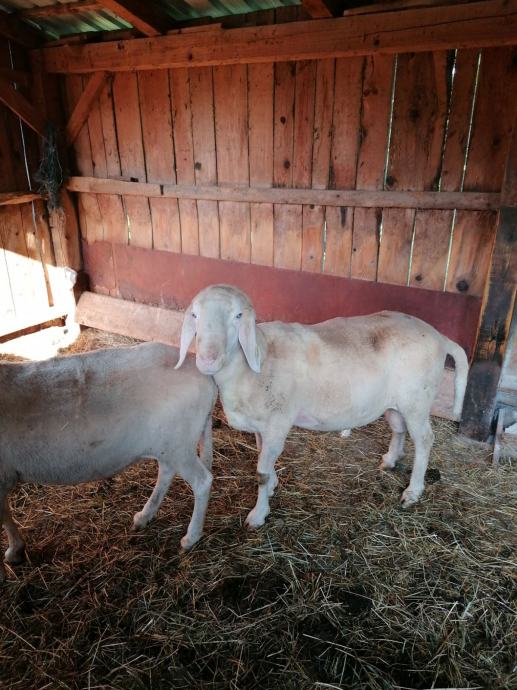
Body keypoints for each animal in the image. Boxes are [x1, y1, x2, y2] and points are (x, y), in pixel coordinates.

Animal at [0, 342, 217, 582]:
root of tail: (202, 372)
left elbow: (4, 517)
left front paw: (14, 552)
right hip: (168, 444)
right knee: (167, 472)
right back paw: (144, 516)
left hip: (179, 444)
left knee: (202, 481)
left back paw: (191, 538)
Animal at [175, 284, 469, 529]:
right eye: (195, 315)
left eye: (237, 316)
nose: (208, 359)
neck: (258, 360)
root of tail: (440, 337)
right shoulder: (260, 425)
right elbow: (262, 460)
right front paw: (273, 486)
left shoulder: (278, 423)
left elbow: (261, 472)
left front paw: (258, 514)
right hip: (395, 402)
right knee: (399, 428)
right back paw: (390, 459)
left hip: (417, 400)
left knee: (425, 439)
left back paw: (413, 491)